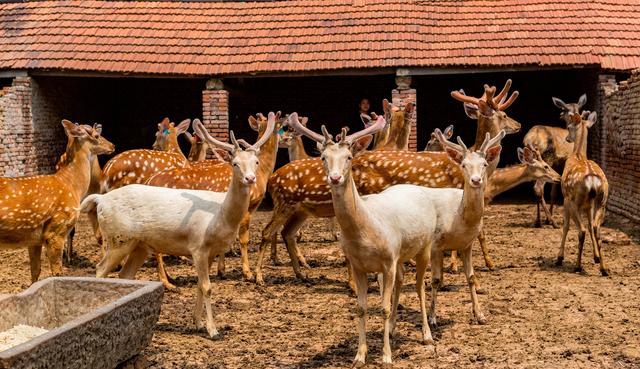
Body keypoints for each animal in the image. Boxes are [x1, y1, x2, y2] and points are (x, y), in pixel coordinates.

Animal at [0, 121, 114, 282]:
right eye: (97, 135)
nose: (112, 145)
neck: (72, 186)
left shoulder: (34, 239)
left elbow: (36, 272)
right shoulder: (56, 229)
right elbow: (57, 273)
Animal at [80, 113, 276, 338]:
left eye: (256, 161)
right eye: (235, 163)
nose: (250, 178)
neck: (220, 216)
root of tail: (100, 199)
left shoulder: (210, 252)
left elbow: (200, 285)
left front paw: (197, 322)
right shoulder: (198, 246)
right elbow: (207, 286)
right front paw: (213, 330)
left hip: (138, 246)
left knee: (124, 275)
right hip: (117, 239)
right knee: (100, 270)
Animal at [524, 93, 584, 226]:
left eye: (578, 109)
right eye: (565, 109)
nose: (575, 116)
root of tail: (531, 140)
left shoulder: (556, 165)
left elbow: (553, 192)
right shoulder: (563, 162)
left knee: (537, 189)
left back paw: (538, 221)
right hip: (547, 158)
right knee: (538, 188)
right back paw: (552, 221)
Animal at [556, 110, 608, 274]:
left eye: (569, 126)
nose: (567, 138)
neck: (577, 155)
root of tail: (592, 181)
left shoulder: (565, 198)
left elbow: (565, 226)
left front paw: (559, 258)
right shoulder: (589, 205)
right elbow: (591, 225)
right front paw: (596, 257)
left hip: (575, 200)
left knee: (582, 230)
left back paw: (577, 266)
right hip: (601, 201)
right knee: (596, 228)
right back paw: (604, 268)